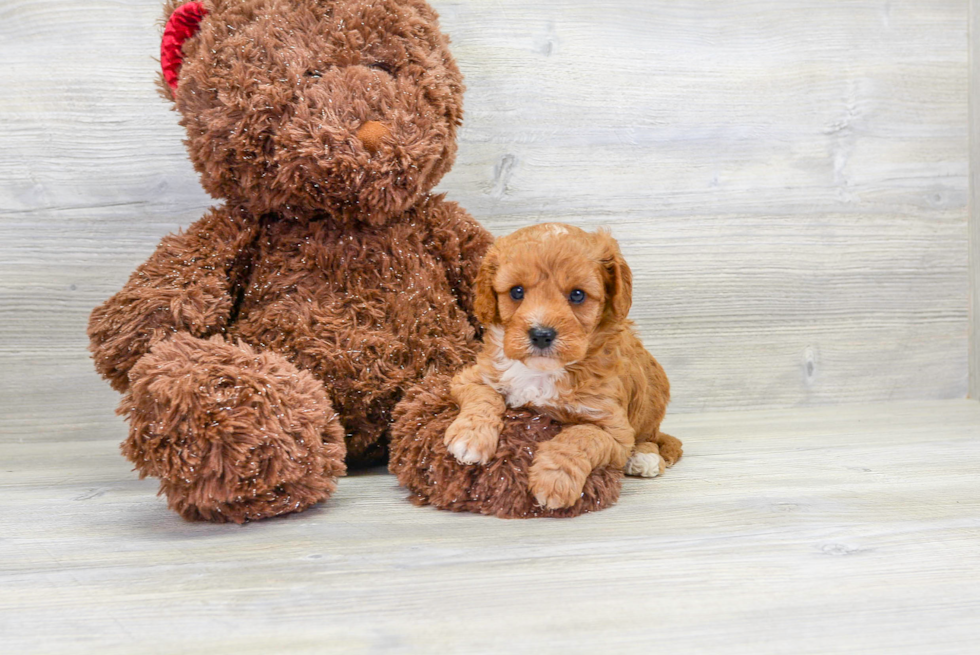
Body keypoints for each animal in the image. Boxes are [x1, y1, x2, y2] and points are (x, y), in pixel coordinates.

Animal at [444, 223, 680, 510]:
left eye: (577, 295)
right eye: (516, 292)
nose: (541, 334)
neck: (543, 371)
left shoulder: (615, 430)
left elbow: (581, 436)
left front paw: (554, 479)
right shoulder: (472, 376)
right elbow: (483, 396)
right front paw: (470, 437)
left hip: (650, 413)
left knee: (652, 439)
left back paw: (644, 459)